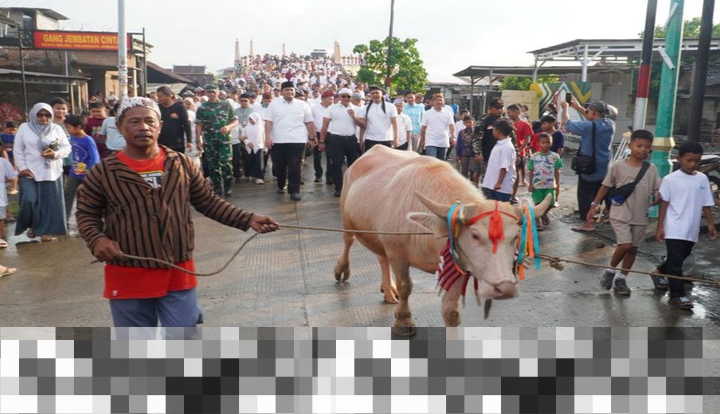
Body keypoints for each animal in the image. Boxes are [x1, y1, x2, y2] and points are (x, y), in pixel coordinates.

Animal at [334, 146, 551, 336]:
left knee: (381, 257)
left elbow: (451, 312)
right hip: (347, 219)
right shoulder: (397, 253)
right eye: (475, 235)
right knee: (348, 241)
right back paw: (342, 270)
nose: (505, 288)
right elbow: (406, 287)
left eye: (516, 236)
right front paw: (403, 321)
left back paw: (388, 291)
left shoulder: (457, 264)